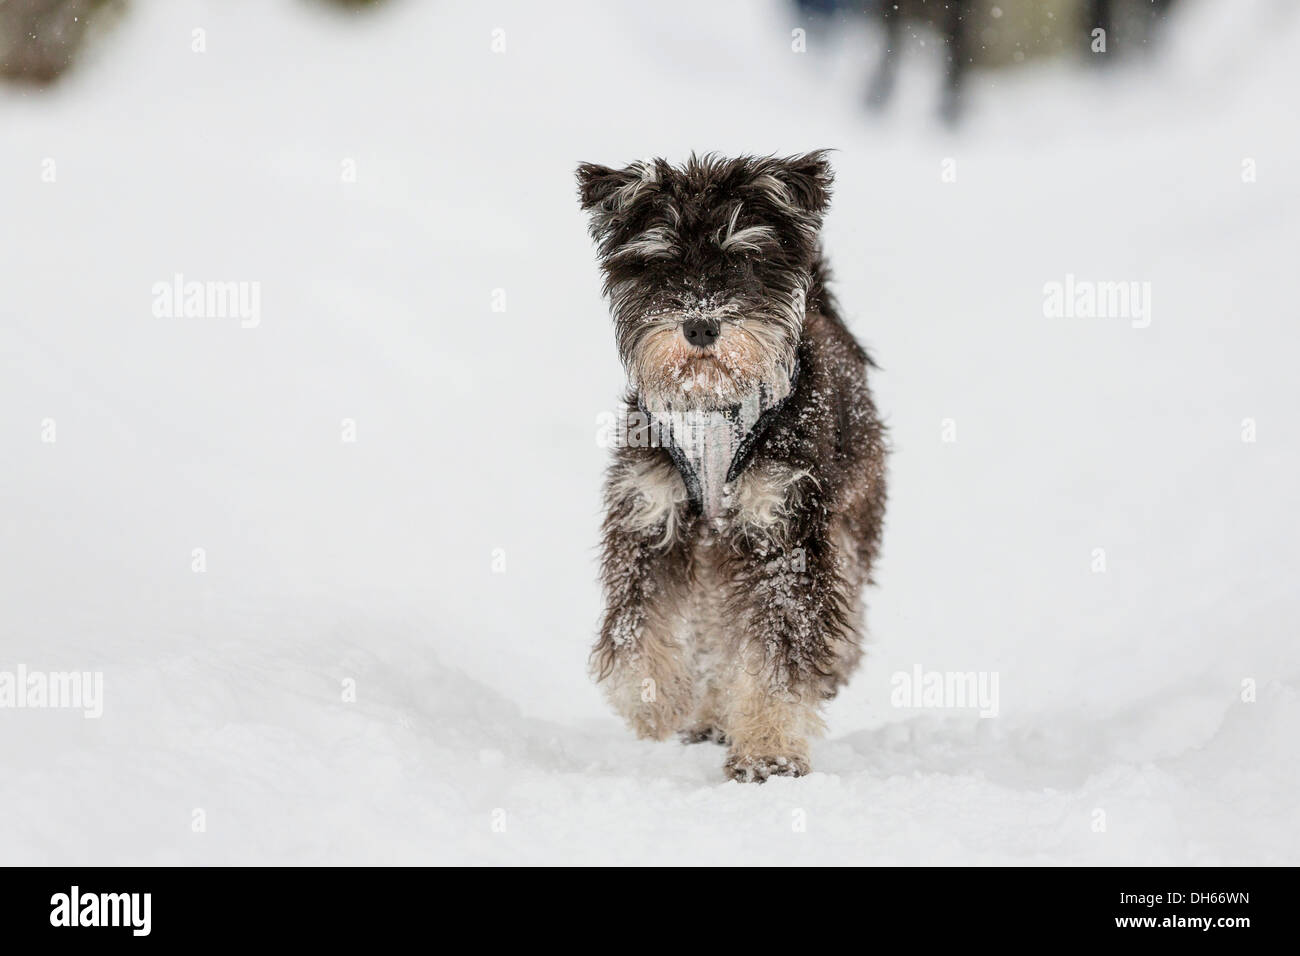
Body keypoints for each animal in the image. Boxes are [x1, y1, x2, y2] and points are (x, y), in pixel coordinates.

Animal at [577, 147, 889, 780]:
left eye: (744, 260)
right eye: (661, 263)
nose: (700, 323)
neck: (714, 410)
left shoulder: (782, 530)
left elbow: (778, 642)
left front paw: (768, 749)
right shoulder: (650, 510)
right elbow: (635, 625)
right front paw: (656, 702)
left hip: (847, 516)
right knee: (714, 629)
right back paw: (709, 713)